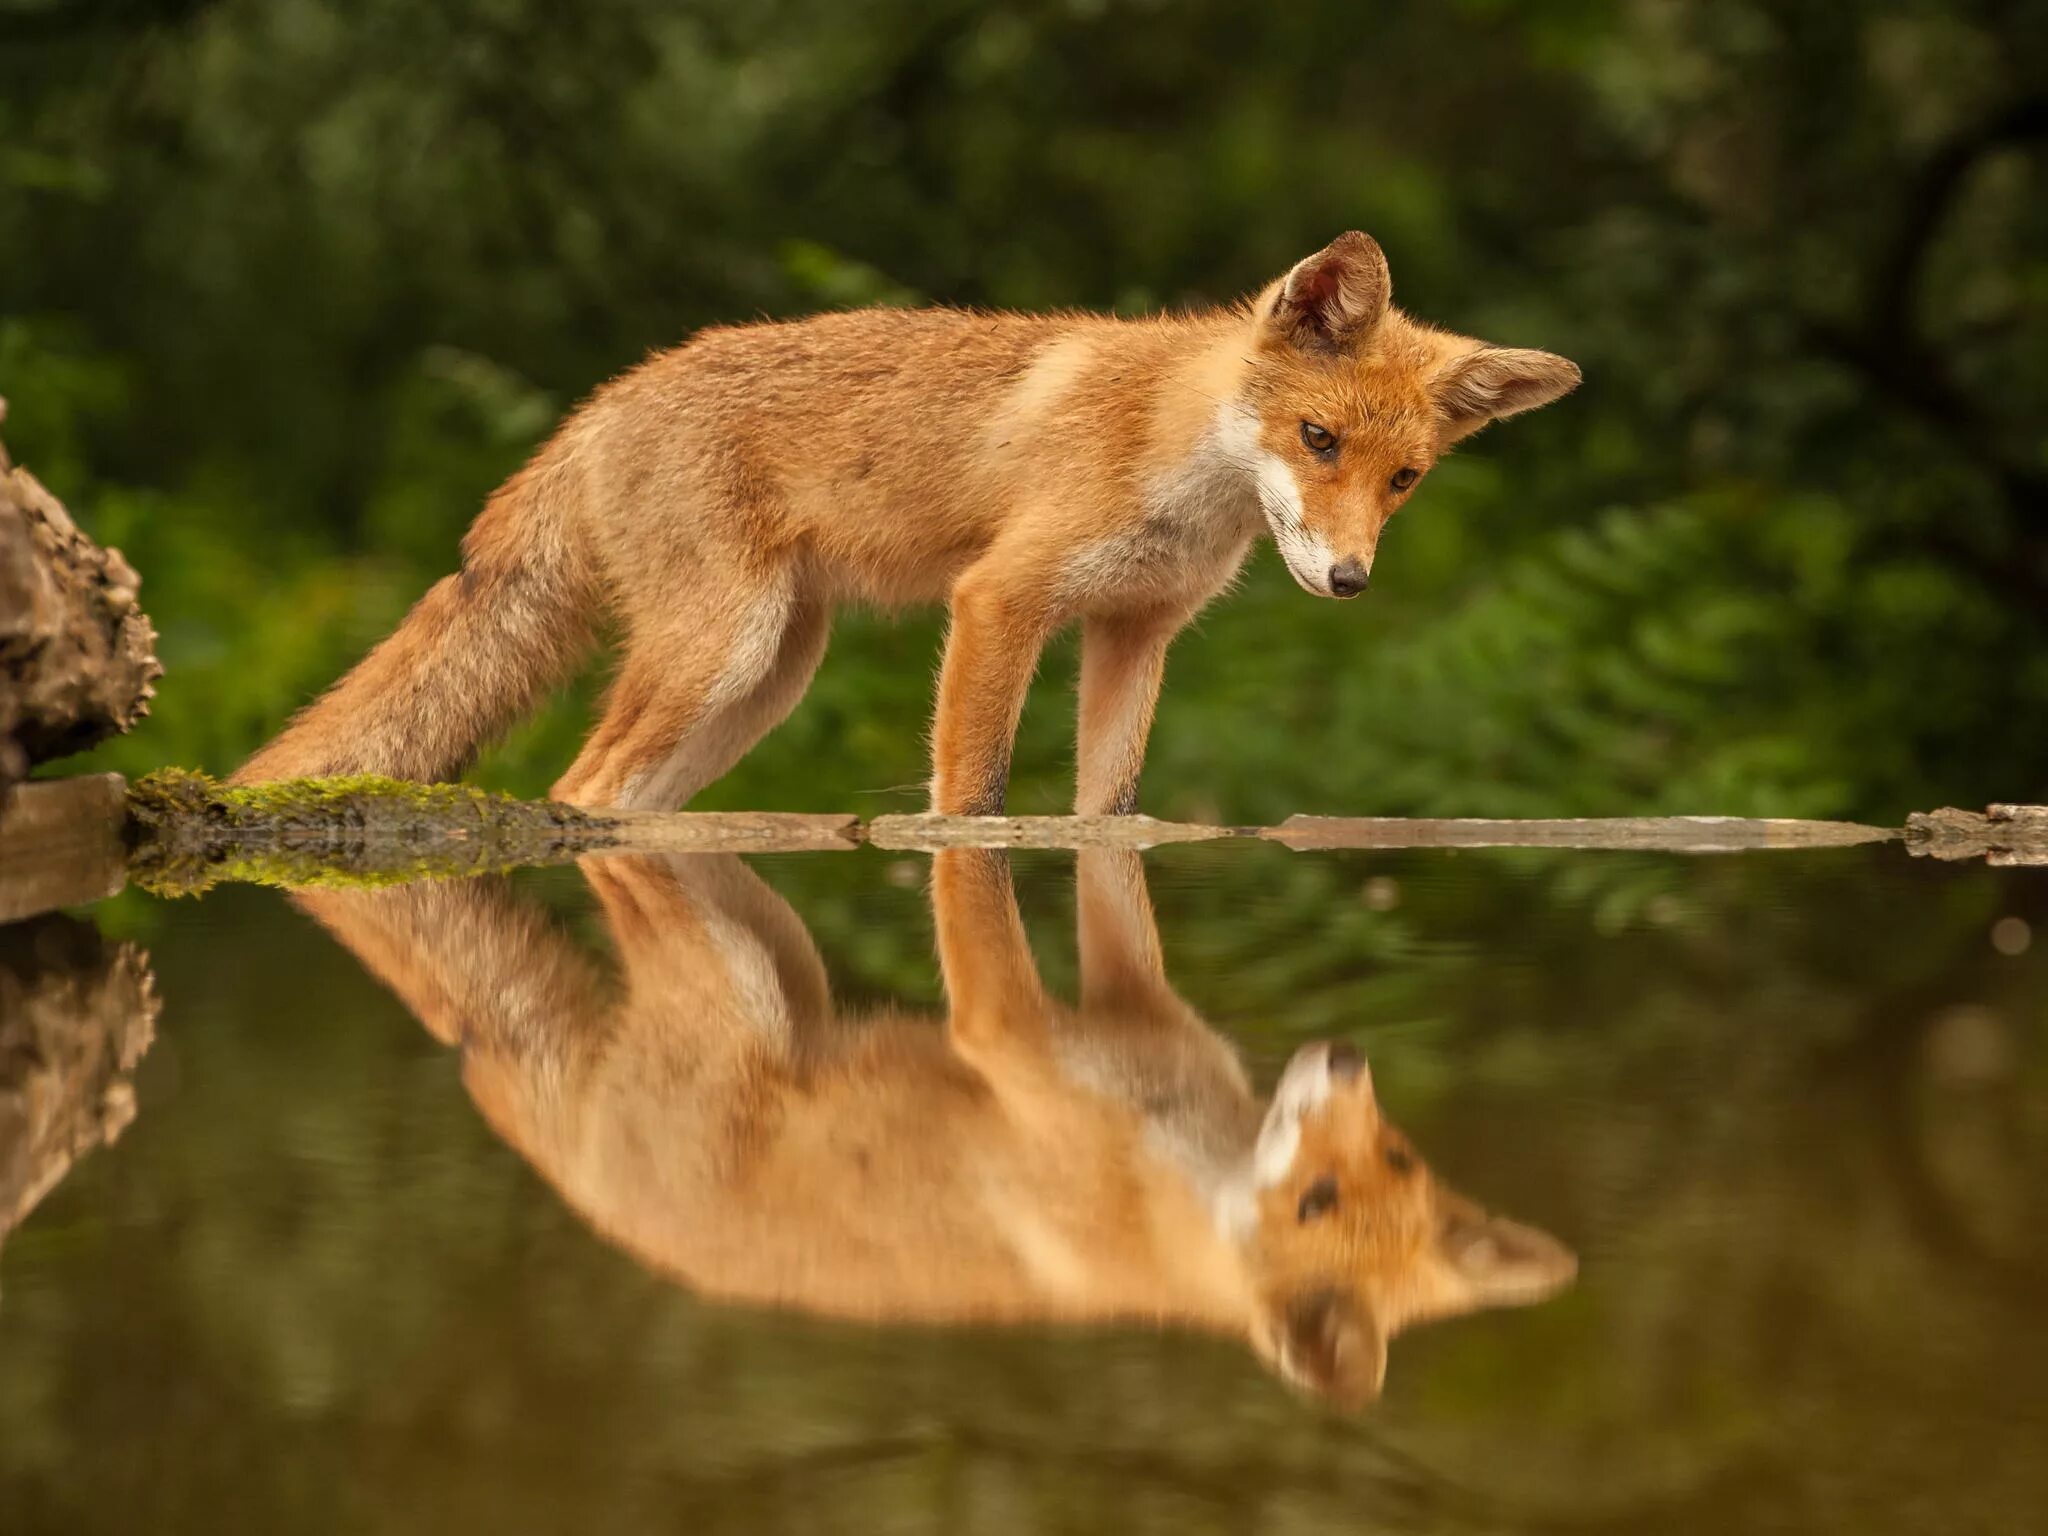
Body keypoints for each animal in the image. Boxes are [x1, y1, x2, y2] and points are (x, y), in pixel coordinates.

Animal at [243, 233, 1581, 811]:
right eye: (1316, 442)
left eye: (1403, 480)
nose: (1349, 581)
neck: (1171, 461)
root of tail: (599, 402)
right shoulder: (999, 601)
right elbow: (972, 803)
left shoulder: (1132, 634)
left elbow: (1106, 816)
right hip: (718, 653)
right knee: (576, 791)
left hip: (758, 690)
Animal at [296, 847, 1572, 1417]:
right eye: (1317, 1200)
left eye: (1395, 1158)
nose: (1348, 1058)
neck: (1171, 1170)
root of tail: (601, 1202)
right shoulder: (1019, 1037)